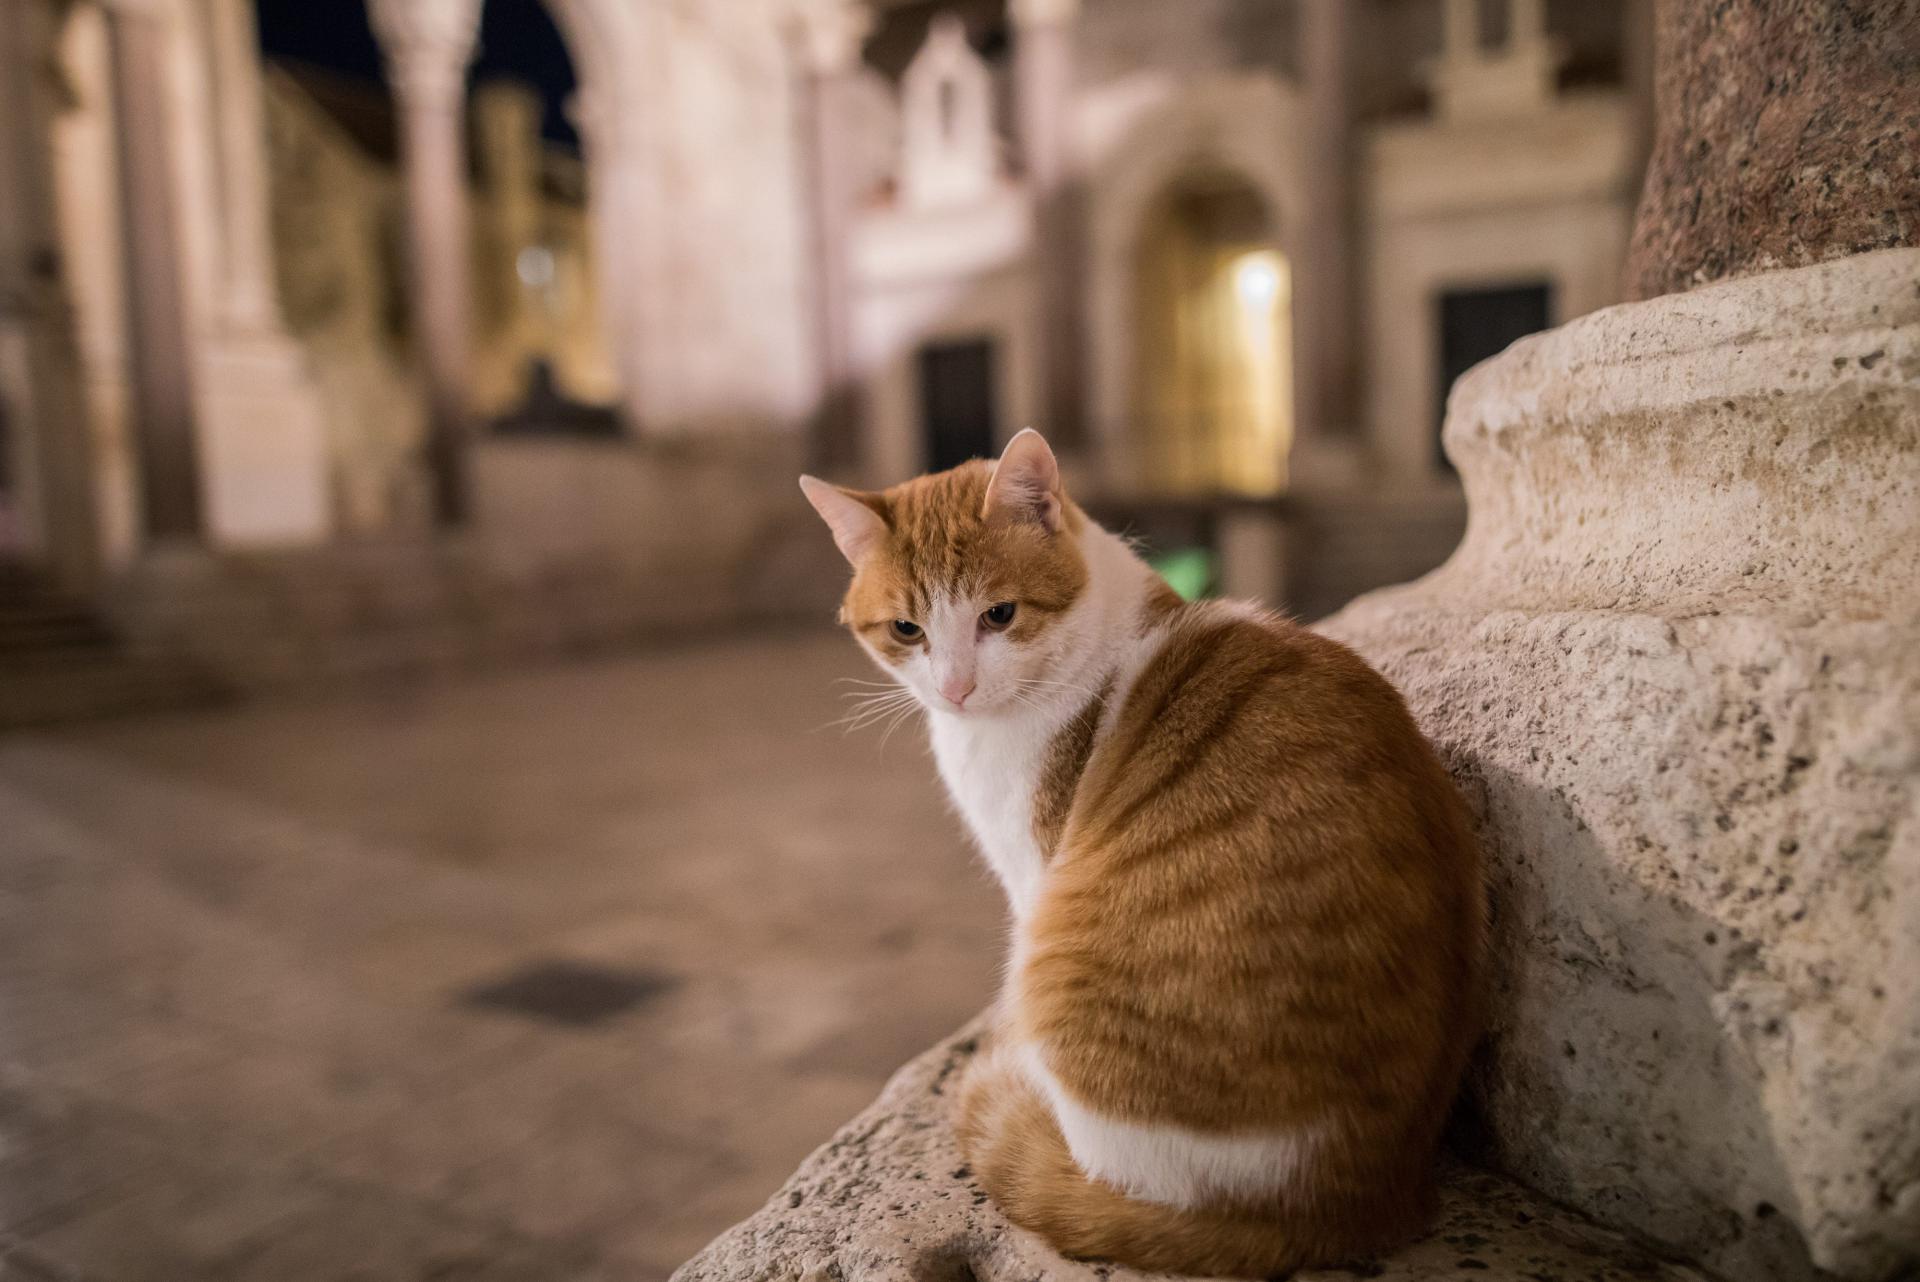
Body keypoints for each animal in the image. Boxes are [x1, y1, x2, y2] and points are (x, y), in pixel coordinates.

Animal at [794, 433, 1482, 1282]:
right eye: (906, 630)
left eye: (999, 615)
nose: (954, 689)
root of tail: (1345, 1200)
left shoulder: (1033, 877)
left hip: (1060, 969)